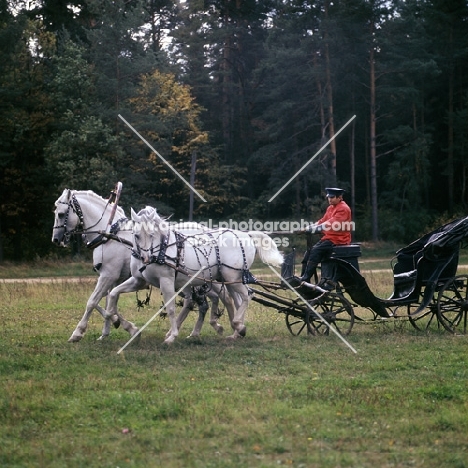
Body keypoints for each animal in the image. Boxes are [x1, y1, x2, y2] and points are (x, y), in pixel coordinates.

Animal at [51, 187, 230, 344]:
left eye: (61, 214)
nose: (56, 239)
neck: (110, 234)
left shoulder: (108, 276)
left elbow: (93, 302)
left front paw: (78, 332)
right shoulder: (115, 279)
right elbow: (109, 302)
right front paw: (109, 330)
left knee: (207, 300)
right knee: (206, 300)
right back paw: (199, 330)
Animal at [104, 207, 284, 342]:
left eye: (151, 234)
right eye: (136, 235)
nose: (145, 258)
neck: (160, 249)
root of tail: (246, 235)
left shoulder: (166, 281)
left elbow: (170, 308)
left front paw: (172, 336)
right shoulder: (138, 281)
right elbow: (113, 294)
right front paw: (116, 319)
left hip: (233, 277)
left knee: (247, 295)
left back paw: (238, 324)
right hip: (229, 279)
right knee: (236, 300)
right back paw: (237, 331)